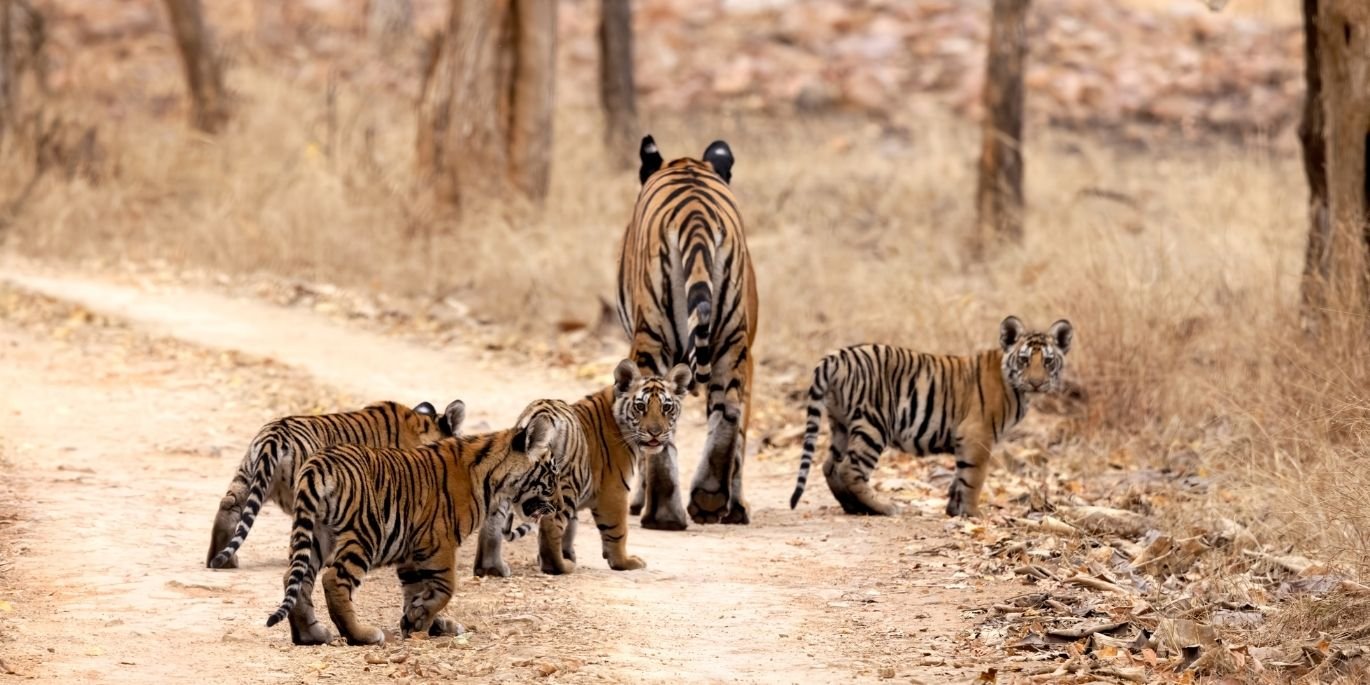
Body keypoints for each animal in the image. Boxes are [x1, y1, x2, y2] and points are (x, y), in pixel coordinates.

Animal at [265, 400, 564, 646]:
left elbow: (417, 591)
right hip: (365, 534)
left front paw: (422, 621)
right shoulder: (439, 543)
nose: (559, 505)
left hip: (316, 533)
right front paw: (421, 621)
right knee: (333, 580)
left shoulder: (411, 552)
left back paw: (310, 635)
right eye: (552, 475)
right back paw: (360, 635)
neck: (494, 479)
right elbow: (445, 587)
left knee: (296, 578)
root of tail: (318, 463)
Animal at [473, 360, 692, 577]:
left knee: (492, 523)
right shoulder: (614, 490)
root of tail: (542, 412)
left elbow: (572, 527)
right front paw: (623, 562)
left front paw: (568, 554)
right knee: (550, 525)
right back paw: (560, 567)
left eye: (666, 408)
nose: (655, 433)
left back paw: (491, 568)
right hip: (565, 485)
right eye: (640, 406)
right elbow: (617, 529)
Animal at [616, 134, 759, 529]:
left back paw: (662, 512)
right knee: (729, 412)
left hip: (651, 337)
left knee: (656, 422)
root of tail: (695, 216)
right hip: (731, 340)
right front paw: (735, 508)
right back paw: (709, 499)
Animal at [789, 316, 1074, 518]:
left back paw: (854, 506)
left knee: (830, 466)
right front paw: (973, 514)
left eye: (1048, 361)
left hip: (841, 424)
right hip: (875, 423)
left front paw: (954, 510)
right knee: (850, 468)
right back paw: (883, 507)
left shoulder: (966, 441)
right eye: (1024, 360)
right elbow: (974, 478)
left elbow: (960, 477)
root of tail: (836, 356)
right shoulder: (978, 436)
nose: (1037, 383)